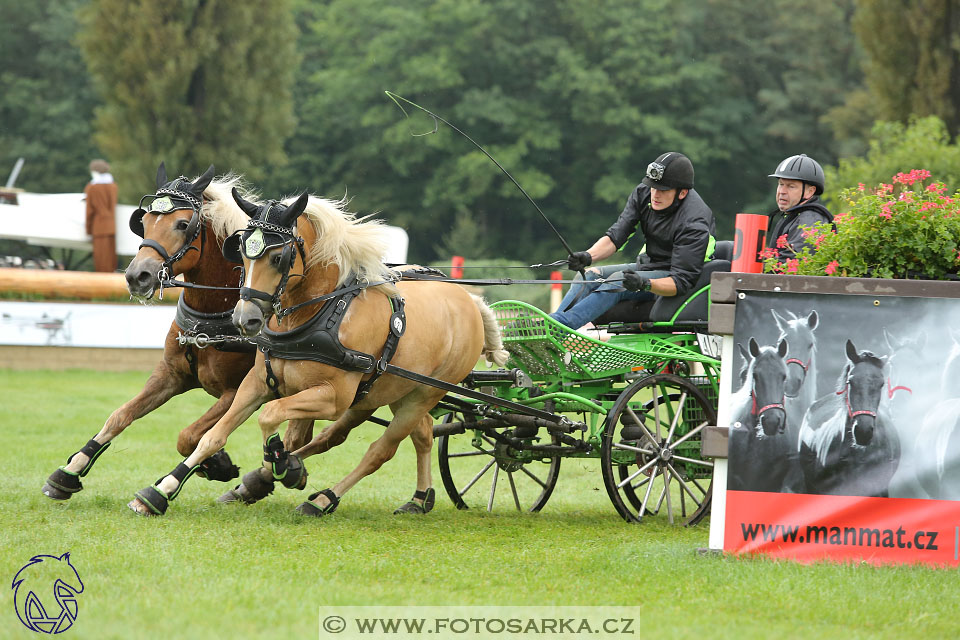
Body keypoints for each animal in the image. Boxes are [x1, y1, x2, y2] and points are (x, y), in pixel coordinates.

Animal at [43, 164, 308, 500]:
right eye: (143, 223)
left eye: (183, 224)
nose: (137, 276)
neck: (208, 319)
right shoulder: (170, 375)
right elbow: (120, 415)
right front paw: (71, 470)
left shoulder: (237, 390)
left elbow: (188, 436)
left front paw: (215, 464)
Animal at [127, 190, 510, 516]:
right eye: (243, 254)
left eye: (278, 257)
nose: (245, 318)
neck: (318, 315)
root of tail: (468, 300)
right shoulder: (255, 384)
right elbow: (212, 435)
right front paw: (159, 492)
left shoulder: (332, 398)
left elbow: (271, 417)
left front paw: (281, 461)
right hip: (389, 392)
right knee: (417, 434)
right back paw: (417, 498)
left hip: (423, 394)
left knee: (380, 450)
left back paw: (322, 497)